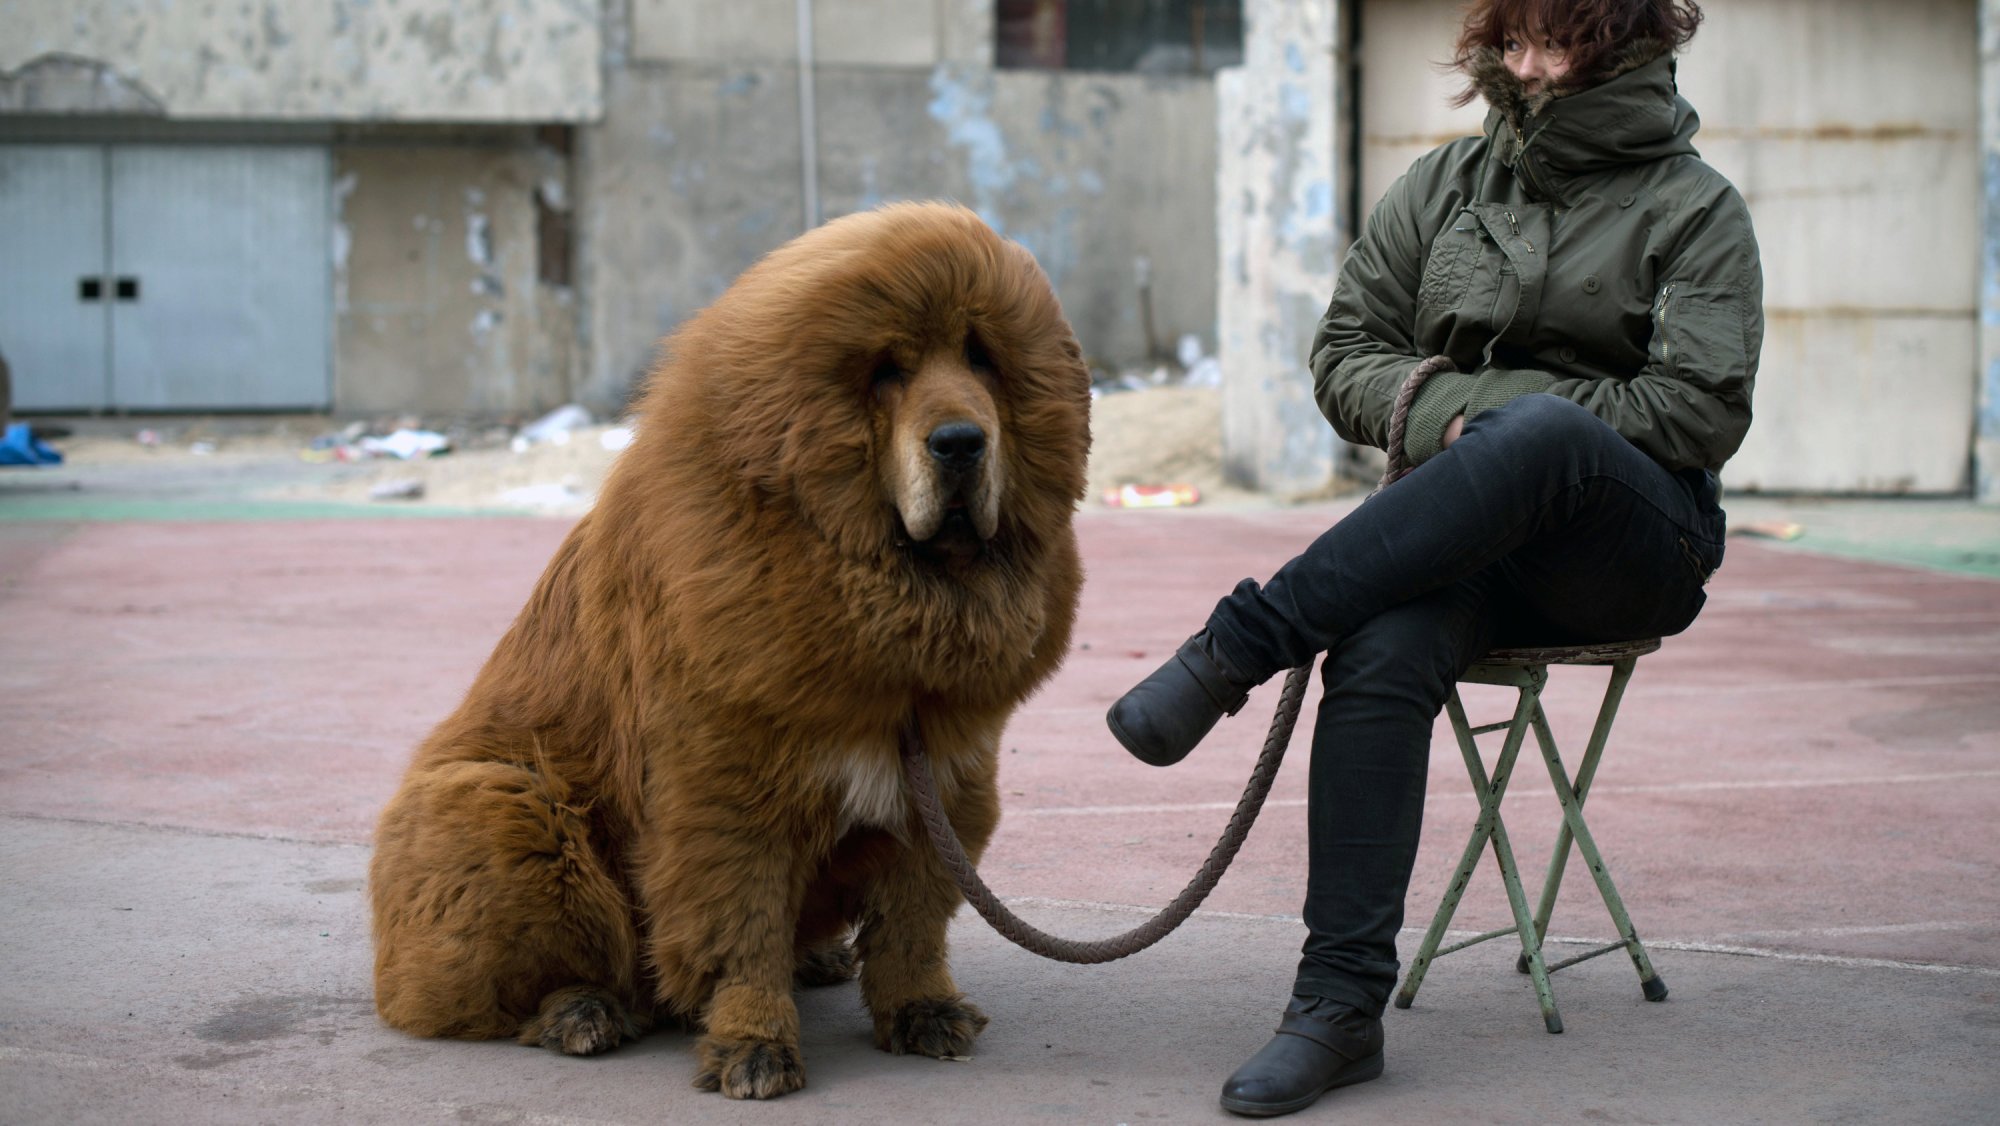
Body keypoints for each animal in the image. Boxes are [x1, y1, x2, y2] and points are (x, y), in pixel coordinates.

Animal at [376, 203, 1096, 1104]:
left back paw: (815, 959)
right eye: (887, 371)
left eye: (981, 358)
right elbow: (739, 930)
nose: (962, 441)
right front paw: (753, 1046)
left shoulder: (948, 777)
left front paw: (922, 1010)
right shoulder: (728, 792)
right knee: (515, 983)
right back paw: (581, 1012)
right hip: (502, 805)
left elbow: (913, 921)